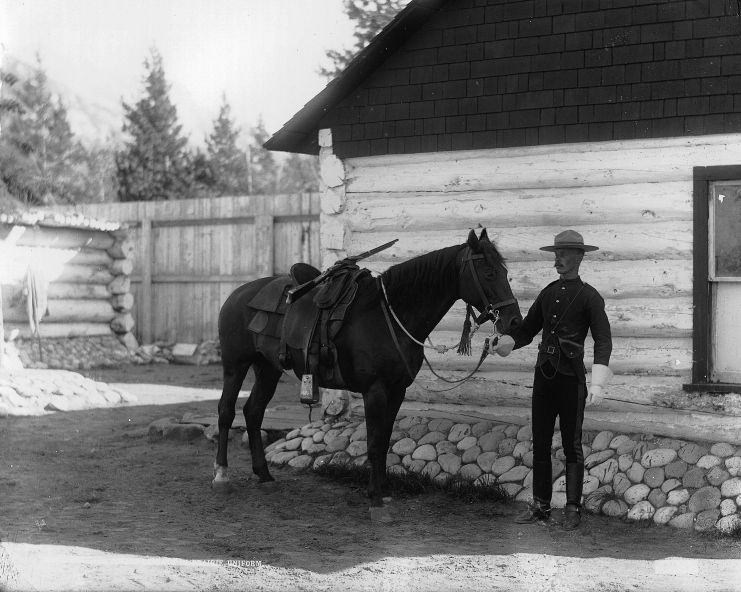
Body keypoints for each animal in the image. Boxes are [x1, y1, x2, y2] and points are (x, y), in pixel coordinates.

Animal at [211, 229, 520, 520]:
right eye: (489, 272)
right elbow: (373, 443)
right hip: (235, 365)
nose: (514, 321)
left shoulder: (397, 390)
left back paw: (264, 475)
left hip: (268, 369)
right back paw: (221, 474)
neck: (389, 317)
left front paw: (383, 491)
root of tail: (237, 295)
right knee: (226, 411)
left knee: (253, 412)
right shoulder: (375, 390)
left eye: (506, 272)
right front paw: (375, 500)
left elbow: (384, 441)